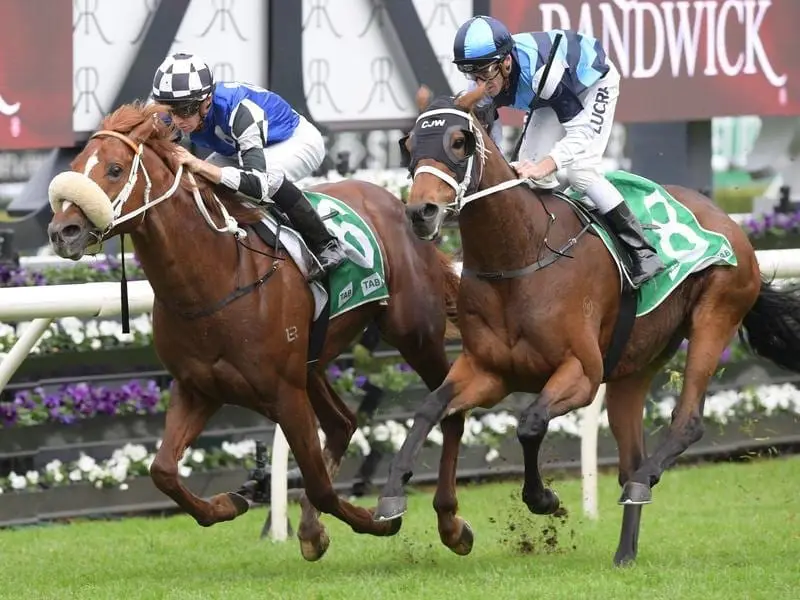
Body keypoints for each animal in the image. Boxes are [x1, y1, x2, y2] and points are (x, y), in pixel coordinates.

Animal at [47, 99, 460, 564]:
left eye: (115, 169)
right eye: (76, 166)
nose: (62, 232)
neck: (217, 279)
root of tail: (394, 202)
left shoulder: (284, 393)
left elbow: (320, 484)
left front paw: (378, 520)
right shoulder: (198, 388)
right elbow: (163, 471)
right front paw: (230, 503)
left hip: (415, 335)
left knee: (448, 409)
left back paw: (451, 524)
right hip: (313, 362)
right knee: (342, 423)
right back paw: (312, 527)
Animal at [372, 85, 800, 568]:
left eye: (458, 142)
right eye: (408, 144)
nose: (421, 212)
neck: (520, 256)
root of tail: (727, 221)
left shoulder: (581, 373)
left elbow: (530, 423)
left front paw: (543, 498)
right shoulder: (488, 371)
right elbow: (430, 409)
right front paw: (392, 498)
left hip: (716, 314)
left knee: (686, 422)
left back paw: (645, 482)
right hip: (634, 368)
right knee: (630, 459)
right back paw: (625, 549)